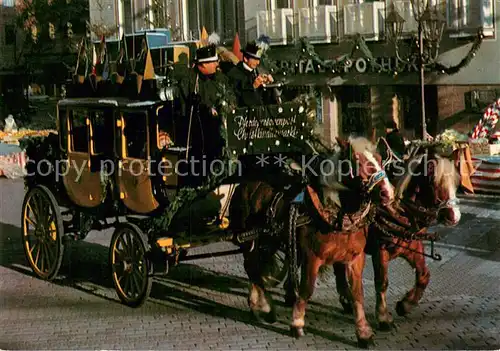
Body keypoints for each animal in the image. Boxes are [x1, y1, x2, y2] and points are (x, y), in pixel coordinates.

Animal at [229, 136, 396, 348]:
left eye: (380, 159)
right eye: (357, 163)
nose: (388, 193)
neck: (335, 213)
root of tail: (245, 184)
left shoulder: (354, 258)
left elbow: (357, 294)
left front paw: (364, 332)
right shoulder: (312, 256)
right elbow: (307, 288)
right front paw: (297, 323)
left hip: (268, 241)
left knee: (256, 269)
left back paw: (257, 304)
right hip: (250, 240)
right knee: (252, 268)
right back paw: (265, 307)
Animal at [332, 144, 460, 332]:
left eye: (457, 181)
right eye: (432, 181)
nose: (454, 216)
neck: (399, 210)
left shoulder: (412, 245)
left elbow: (424, 275)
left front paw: (406, 304)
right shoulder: (380, 249)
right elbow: (382, 282)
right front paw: (383, 317)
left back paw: (347, 300)